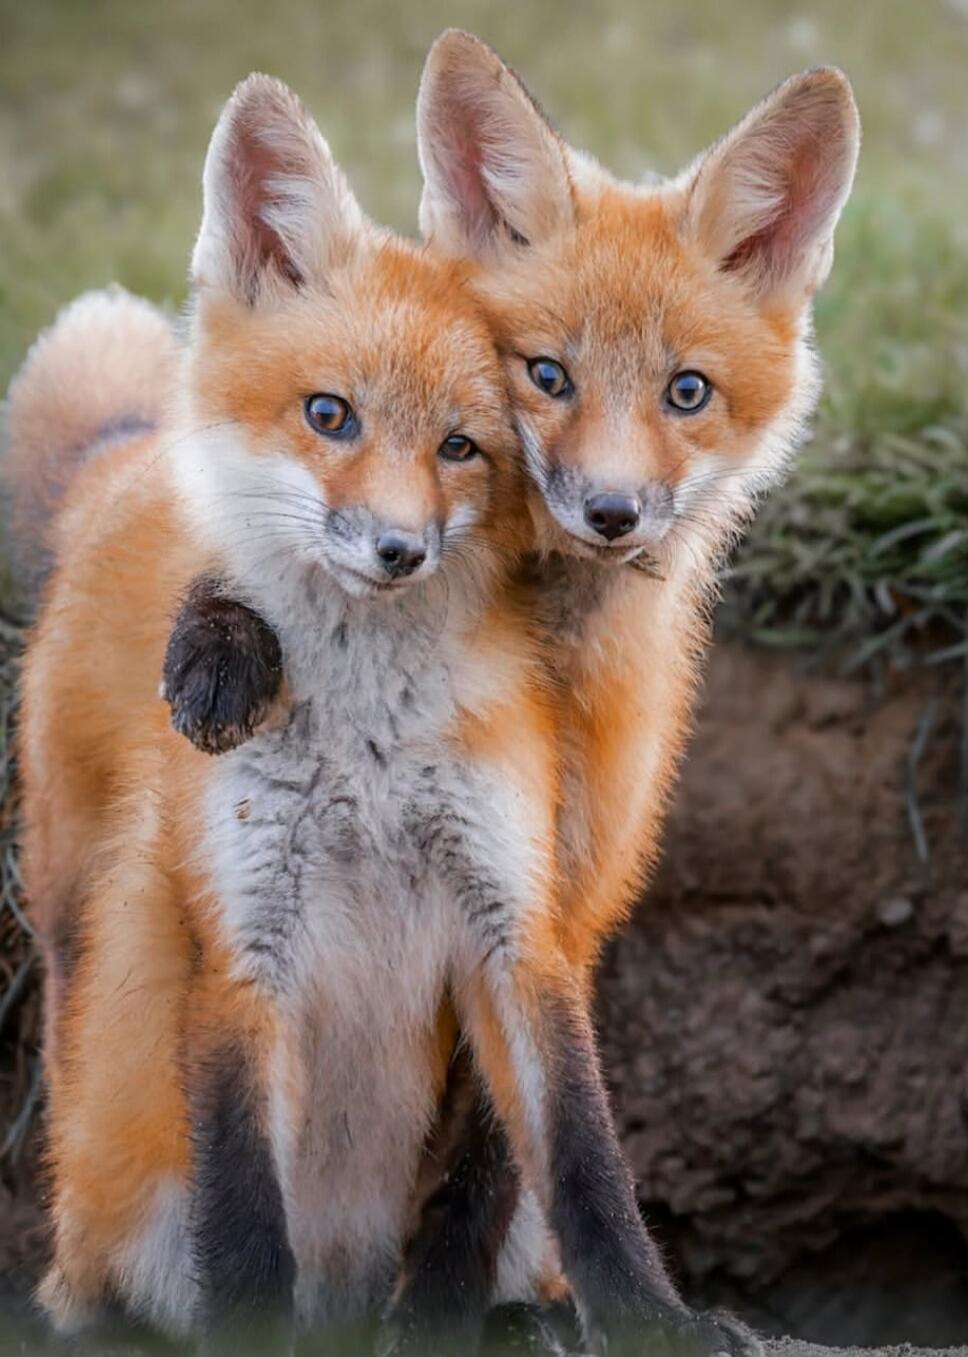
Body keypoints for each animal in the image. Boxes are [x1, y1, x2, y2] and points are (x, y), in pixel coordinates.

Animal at [6, 73, 757, 1357]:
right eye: (329, 416)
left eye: (462, 446)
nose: (398, 550)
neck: (369, 748)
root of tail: (122, 460)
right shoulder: (242, 946)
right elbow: (243, 1217)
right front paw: (257, 1332)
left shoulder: (519, 922)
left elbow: (577, 1160)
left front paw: (648, 1318)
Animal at [162, 30, 859, 1352]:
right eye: (547, 375)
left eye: (685, 392)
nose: (611, 512)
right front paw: (222, 637)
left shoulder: (554, 905)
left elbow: (520, 1153)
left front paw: (452, 1308)